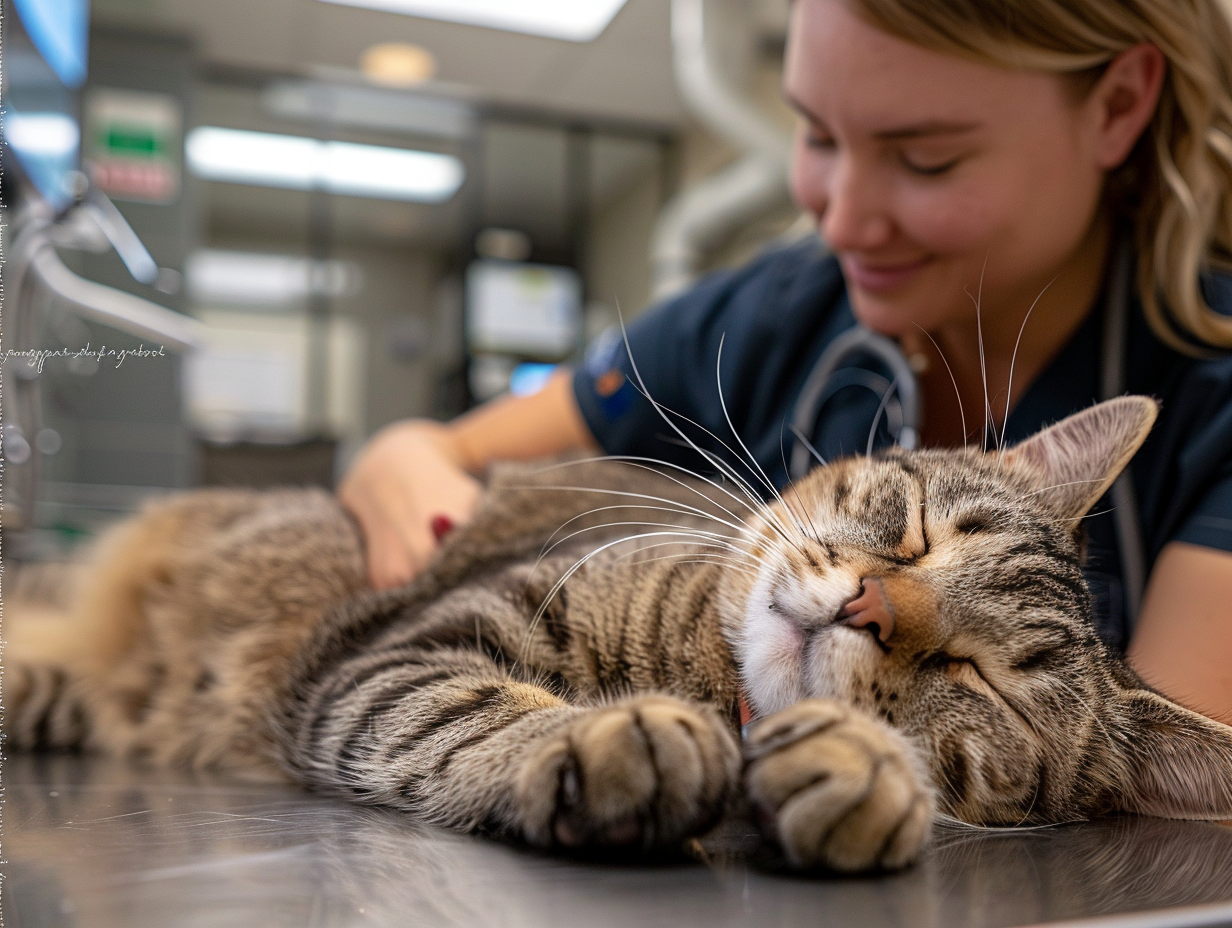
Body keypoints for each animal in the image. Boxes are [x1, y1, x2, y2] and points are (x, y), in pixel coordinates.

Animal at [7, 394, 1232, 872]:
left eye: (980, 679)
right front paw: (595, 738)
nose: (865, 607)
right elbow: (470, 714)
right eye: (919, 536)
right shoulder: (412, 646)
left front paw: (865, 778)